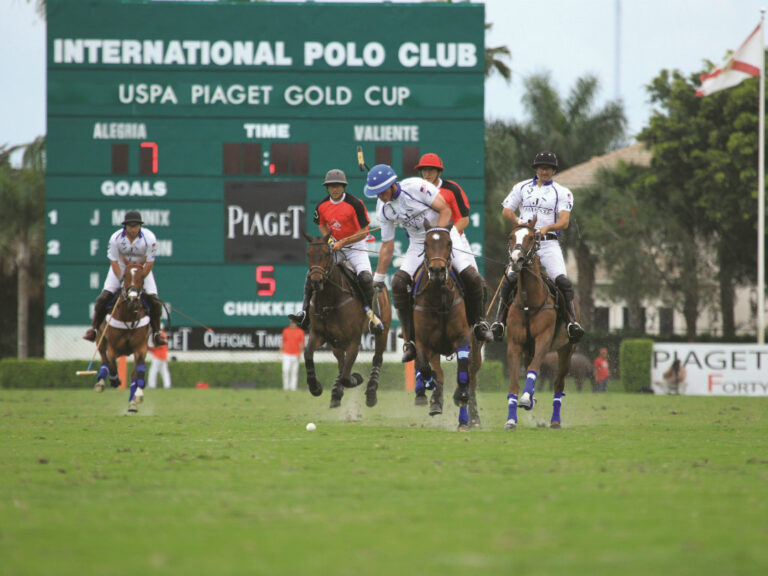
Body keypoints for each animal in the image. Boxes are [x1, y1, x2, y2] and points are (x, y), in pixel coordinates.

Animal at [94, 263, 152, 413]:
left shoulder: (141, 348)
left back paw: (133, 402)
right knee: (104, 358)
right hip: (100, 338)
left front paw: (137, 396)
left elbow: (137, 373)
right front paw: (115, 381)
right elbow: (112, 365)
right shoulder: (112, 347)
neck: (129, 316)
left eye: (142, 276)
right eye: (124, 276)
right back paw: (101, 382)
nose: (132, 299)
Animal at [302, 233, 392, 409]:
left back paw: (371, 393)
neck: (329, 302)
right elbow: (308, 354)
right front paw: (315, 387)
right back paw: (336, 393)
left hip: (382, 331)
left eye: (327, 254)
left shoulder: (354, 341)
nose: (315, 281)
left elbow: (346, 375)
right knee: (341, 362)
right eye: (308, 254)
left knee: (377, 358)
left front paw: (356, 378)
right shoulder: (318, 334)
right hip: (335, 341)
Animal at [412, 227, 483, 430]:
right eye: (425, 243)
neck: (439, 300)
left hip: (477, 345)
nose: (437, 270)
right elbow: (428, 369)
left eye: (449, 243)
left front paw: (460, 396)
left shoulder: (463, 337)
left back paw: (470, 419)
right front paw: (432, 395)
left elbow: (464, 374)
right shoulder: (424, 341)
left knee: (471, 375)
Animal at [501, 218, 576, 429]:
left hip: (566, 349)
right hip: (528, 349)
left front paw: (526, 398)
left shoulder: (544, 339)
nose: (516, 260)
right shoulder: (515, 344)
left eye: (531, 237)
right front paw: (511, 419)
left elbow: (533, 371)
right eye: (511, 237)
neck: (528, 301)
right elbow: (514, 382)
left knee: (558, 384)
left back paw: (555, 421)